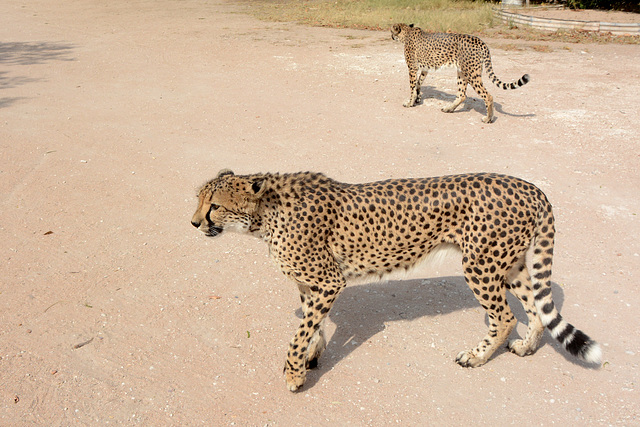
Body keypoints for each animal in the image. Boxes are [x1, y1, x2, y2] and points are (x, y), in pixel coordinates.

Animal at [192, 170, 604, 392]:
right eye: (198, 200)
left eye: (214, 205)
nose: (194, 222)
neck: (265, 215)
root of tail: (530, 186)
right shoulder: (312, 285)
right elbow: (313, 324)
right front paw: (313, 354)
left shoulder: (329, 281)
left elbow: (300, 332)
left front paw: (294, 374)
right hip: (511, 264)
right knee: (535, 309)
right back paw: (525, 347)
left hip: (481, 265)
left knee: (505, 317)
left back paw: (476, 356)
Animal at [390, 23, 528, 123]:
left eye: (391, 31)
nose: (391, 36)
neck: (407, 32)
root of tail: (480, 40)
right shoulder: (425, 68)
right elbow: (418, 83)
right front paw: (417, 98)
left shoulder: (412, 68)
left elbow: (412, 86)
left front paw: (410, 102)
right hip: (462, 72)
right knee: (462, 95)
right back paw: (449, 109)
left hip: (472, 73)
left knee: (487, 96)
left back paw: (488, 118)